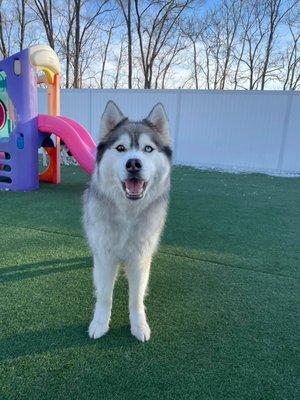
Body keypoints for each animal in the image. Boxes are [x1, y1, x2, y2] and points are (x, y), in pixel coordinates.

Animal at [83, 101, 172, 340]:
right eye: (121, 148)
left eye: (148, 149)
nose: (133, 164)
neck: (128, 213)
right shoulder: (105, 258)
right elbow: (105, 296)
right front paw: (100, 323)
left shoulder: (140, 260)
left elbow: (136, 298)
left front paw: (139, 325)